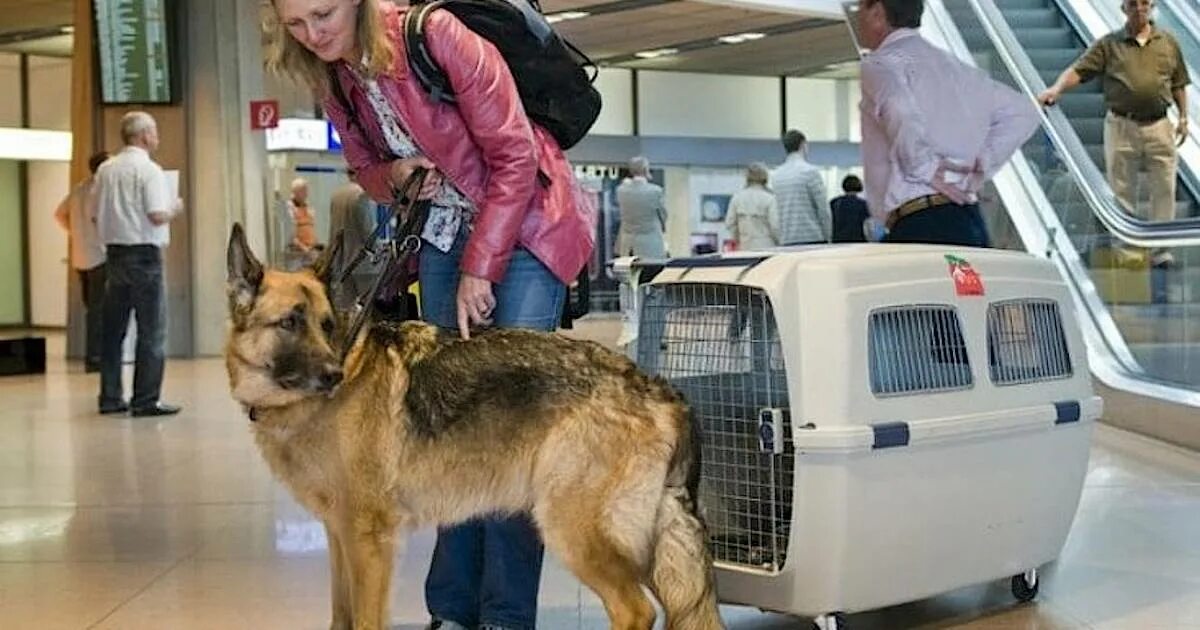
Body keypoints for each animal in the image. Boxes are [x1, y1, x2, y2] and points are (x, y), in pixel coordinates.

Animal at [223, 225, 720, 628]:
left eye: (326, 326)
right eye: (290, 322)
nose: (333, 375)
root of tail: (656, 386)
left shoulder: (368, 540)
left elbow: (364, 620)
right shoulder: (338, 535)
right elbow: (340, 617)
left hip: (572, 530)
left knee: (635, 611)